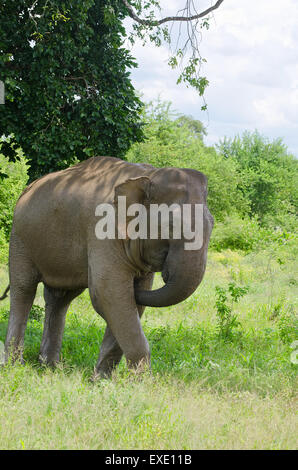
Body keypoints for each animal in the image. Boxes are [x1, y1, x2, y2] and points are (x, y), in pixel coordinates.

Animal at [1, 156, 213, 376]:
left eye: (213, 225)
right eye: (171, 226)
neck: (148, 175)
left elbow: (131, 299)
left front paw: (102, 379)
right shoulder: (102, 229)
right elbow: (108, 293)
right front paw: (141, 381)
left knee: (60, 298)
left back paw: (50, 367)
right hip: (19, 238)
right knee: (24, 288)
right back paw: (15, 367)